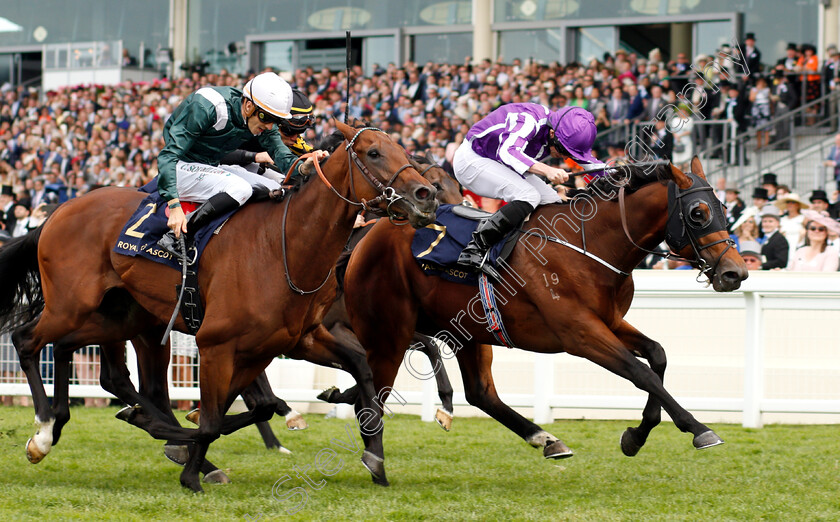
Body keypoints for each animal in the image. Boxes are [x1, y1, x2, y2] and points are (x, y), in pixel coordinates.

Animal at [1, 120, 440, 490]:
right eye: (374, 153)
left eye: (403, 149)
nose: (426, 196)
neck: (285, 245)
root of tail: (59, 212)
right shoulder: (217, 344)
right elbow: (218, 418)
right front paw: (190, 468)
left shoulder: (295, 340)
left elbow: (355, 371)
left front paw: (374, 455)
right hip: (74, 306)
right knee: (28, 341)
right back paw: (46, 430)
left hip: (121, 316)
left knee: (83, 359)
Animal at [344, 156, 752, 482]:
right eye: (698, 212)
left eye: (723, 206)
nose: (735, 273)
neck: (590, 244)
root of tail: (368, 233)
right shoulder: (580, 334)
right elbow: (642, 373)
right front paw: (698, 428)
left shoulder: (609, 322)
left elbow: (658, 355)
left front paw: (636, 436)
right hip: (389, 330)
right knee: (372, 391)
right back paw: (375, 459)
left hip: (467, 330)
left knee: (480, 392)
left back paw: (546, 439)